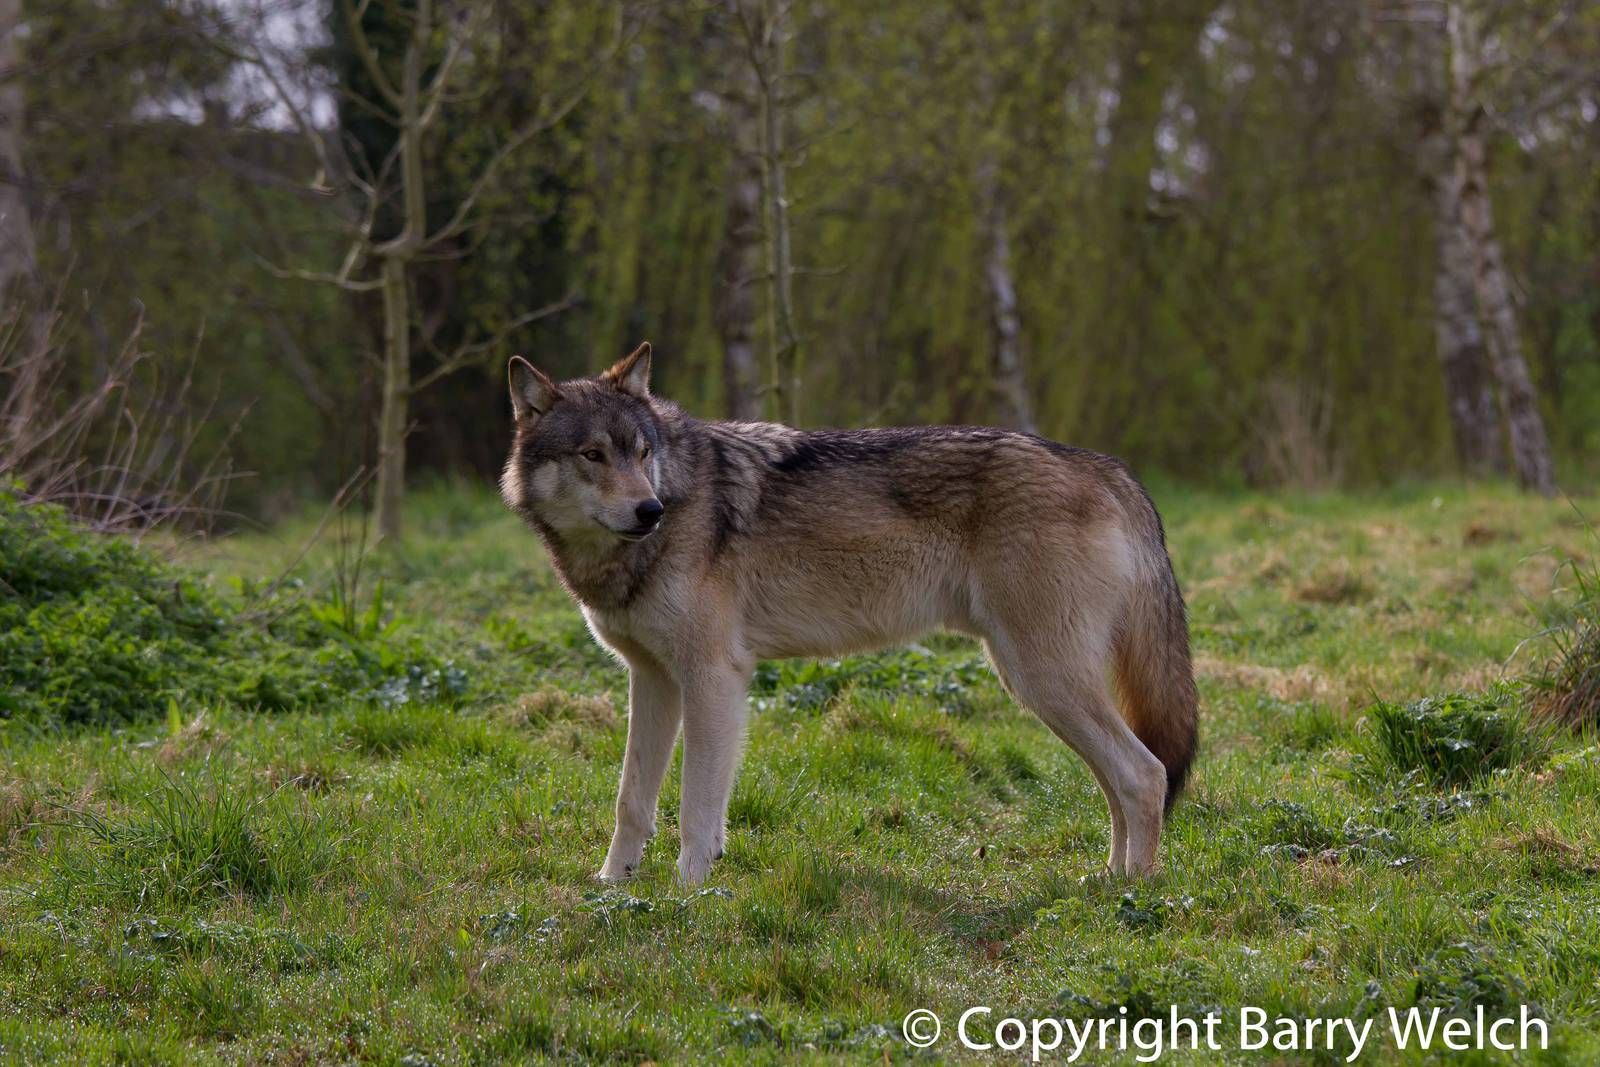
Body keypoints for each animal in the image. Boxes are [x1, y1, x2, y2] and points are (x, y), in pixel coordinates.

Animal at [500, 343, 1198, 885]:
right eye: (593, 455)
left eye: (643, 452)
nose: (651, 511)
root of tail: (1107, 467)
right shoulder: (652, 681)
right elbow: (633, 801)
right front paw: (612, 885)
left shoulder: (712, 678)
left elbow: (697, 807)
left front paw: (689, 894)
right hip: (1041, 685)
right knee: (1122, 780)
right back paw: (1108, 878)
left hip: (1040, 678)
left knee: (1145, 774)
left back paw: (1136, 892)